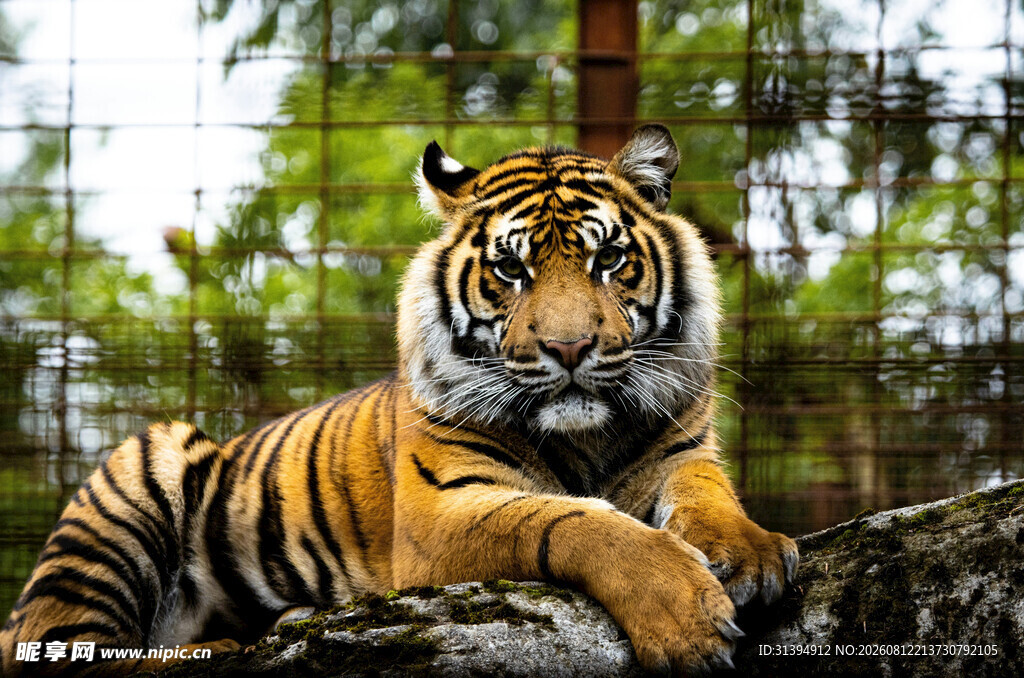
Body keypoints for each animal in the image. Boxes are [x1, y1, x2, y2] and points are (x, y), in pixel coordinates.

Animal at [1, 124, 798, 677]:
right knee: (72, 651)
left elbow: (708, 495)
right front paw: (684, 614)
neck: (586, 436)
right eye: (511, 270)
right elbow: (576, 522)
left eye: (609, 259)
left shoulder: (682, 451)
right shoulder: (442, 512)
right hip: (139, 473)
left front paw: (749, 552)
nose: (569, 349)